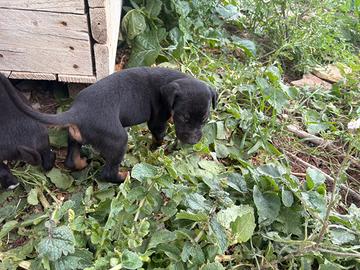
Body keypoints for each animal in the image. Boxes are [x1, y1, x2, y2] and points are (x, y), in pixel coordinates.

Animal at [1, 67, 217, 184]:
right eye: (184, 117)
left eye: (205, 119)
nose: (193, 141)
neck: (171, 79)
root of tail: (77, 111)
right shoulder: (156, 121)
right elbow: (158, 136)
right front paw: (158, 149)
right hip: (118, 140)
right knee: (107, 173)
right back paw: (124, 177)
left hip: (75, 136)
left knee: (71, 160)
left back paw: (81, 163)